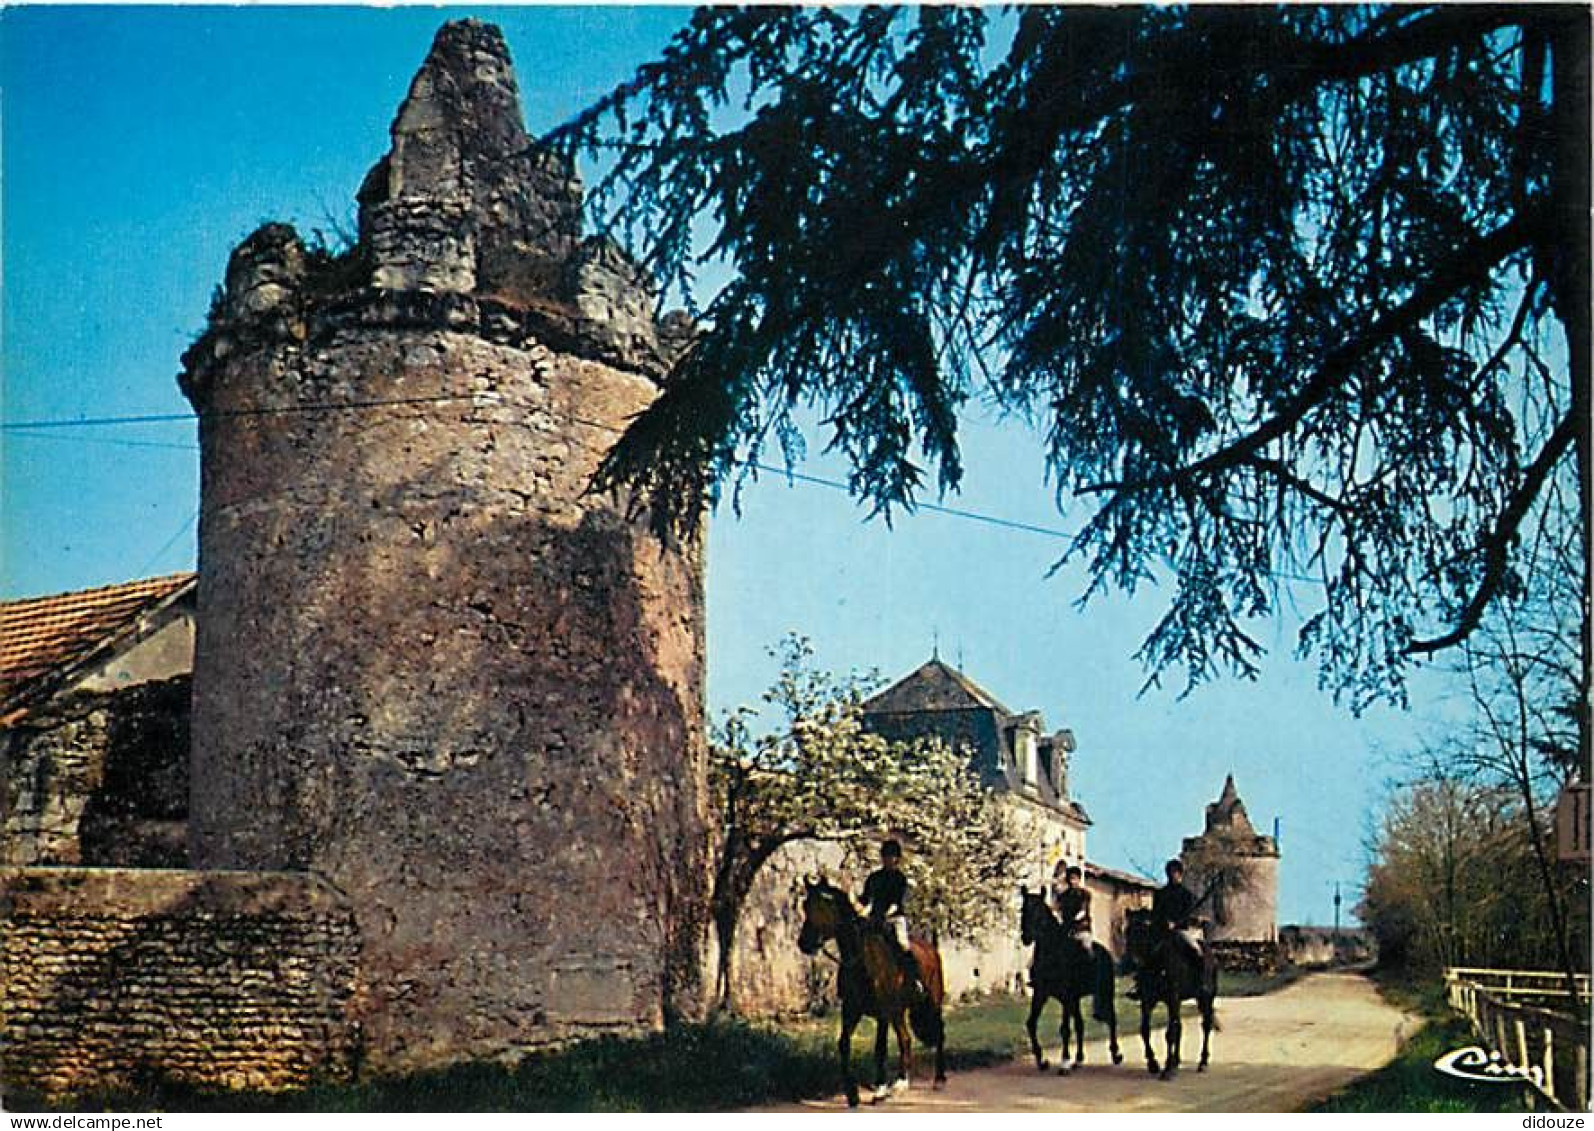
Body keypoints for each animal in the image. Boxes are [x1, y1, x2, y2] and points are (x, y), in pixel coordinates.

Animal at [797, 879, 943, 1108]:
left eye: (824, 906)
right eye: (805, 905)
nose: (805, 943)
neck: (862, 962)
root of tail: (931, 948)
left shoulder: (883, 1013)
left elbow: (880, 1048)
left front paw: (880, 1090)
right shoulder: (851, 1010)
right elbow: (844, 1044)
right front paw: (852, 1093)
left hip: (928, 1004)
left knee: (931, 1034)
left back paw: (933, 1079)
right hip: (902, 1011)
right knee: (909, 1038)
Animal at [1020, 892, 1122, 1070]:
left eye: (1039, 913)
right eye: (1023, 910)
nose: (1026, 937)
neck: (1052, 953)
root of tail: (1105, 952)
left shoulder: (1066, 997)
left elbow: (1065, 1029)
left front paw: (1064, 1062)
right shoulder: (1041, 994)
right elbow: (1031, 1023)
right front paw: (1041, 1060)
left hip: (1105, 993)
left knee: (1111, 1019)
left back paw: (1116, 1054)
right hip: (1076, 1000)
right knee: (1080, 1024)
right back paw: (1079, 1059)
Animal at [1122, 911, 1217, 1083]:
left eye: (1144, 931)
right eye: (1127, 931)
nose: (1131, 963)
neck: (1158, 963)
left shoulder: (1173, 999)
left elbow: (1170, 1033)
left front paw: (1167, 1069)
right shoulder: (1148, 1000)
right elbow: (1145, 1029)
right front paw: (1153, 1063)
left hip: (1205, 998)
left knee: (1206, 1026)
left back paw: (1203, 1062)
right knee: (1179, 1026)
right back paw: (1177, 1061)